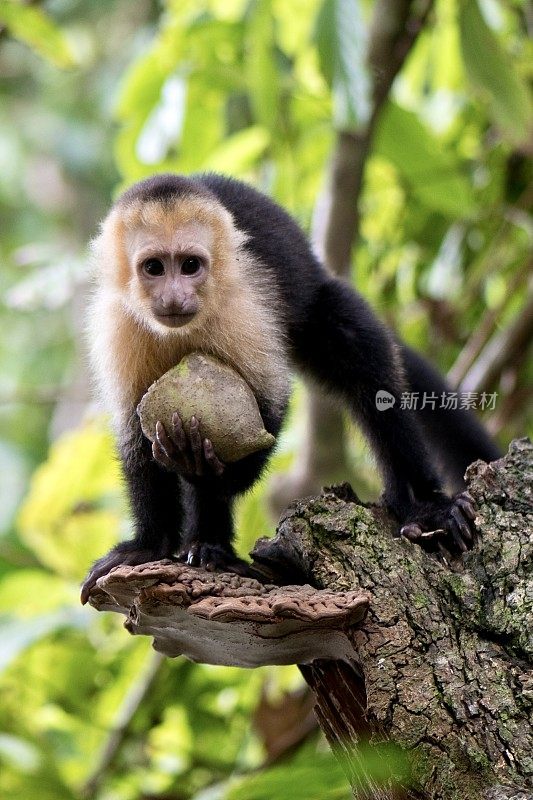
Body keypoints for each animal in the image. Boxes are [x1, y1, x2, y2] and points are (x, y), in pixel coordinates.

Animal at [79, 173, 498, 600]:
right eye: (154, 267)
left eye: (190, 265)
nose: (175, 297)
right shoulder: (118, 325)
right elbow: (135, 432)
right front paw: (151, 545)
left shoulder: (244, 308)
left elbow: (268, 411)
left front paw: (206, 467)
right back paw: (209, 545)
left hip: (312, 306)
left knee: (360, 352)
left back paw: (423, 506)